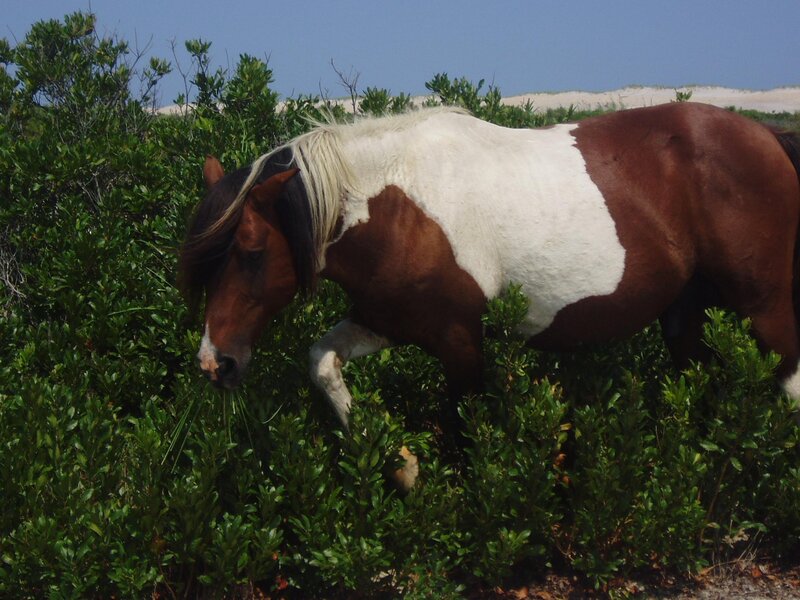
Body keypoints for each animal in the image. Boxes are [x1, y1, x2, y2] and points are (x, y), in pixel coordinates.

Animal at [180, 103, 800, 488]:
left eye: (252, 250)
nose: (216, 362)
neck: (398, 206)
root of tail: (768, 136)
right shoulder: (386, 321)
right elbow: (321, 362)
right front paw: (401, 466)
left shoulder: (460, 342)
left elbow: (464, 431)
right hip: (686, 315)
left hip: (764, 306)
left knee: (788, 378)